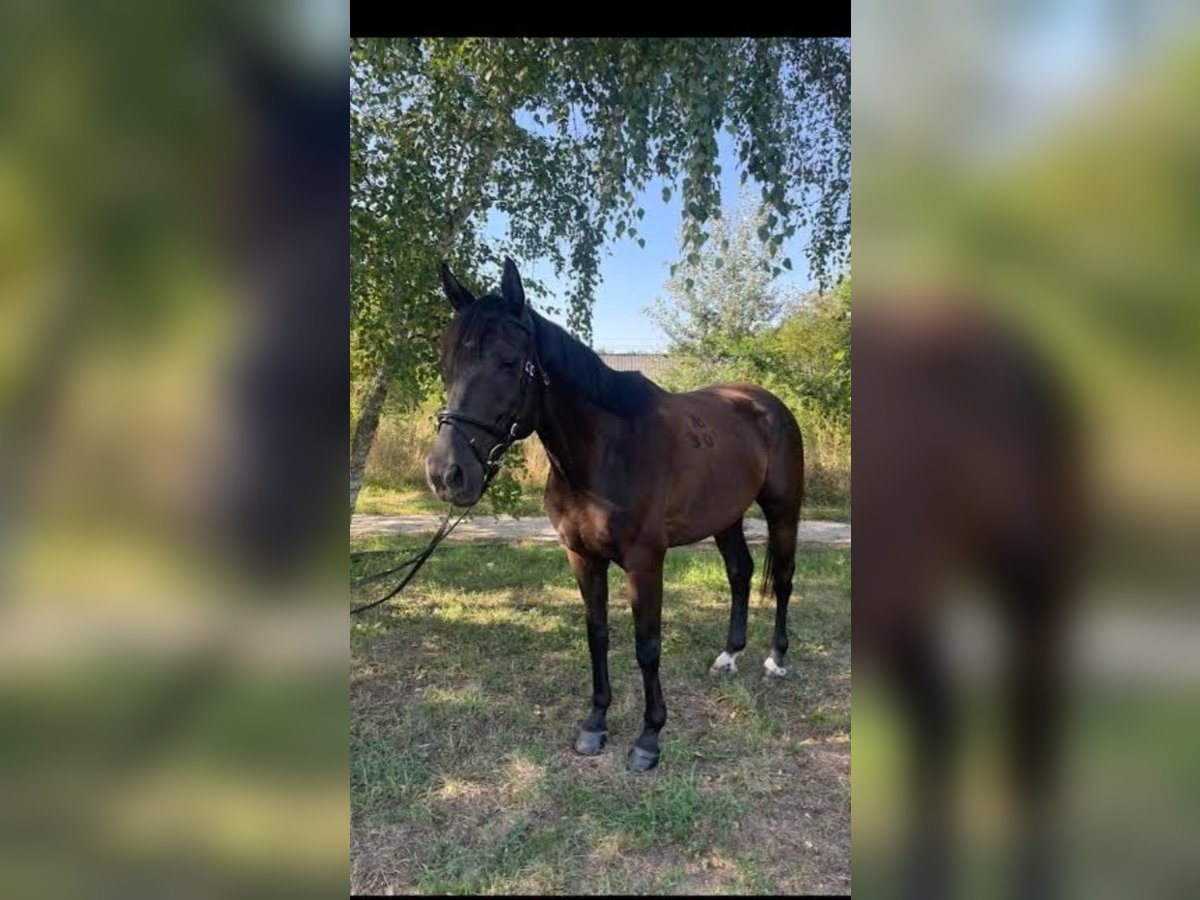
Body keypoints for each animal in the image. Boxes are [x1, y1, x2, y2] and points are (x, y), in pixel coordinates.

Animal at [424, 256, 806, 772]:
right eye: (446, 362)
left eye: (508, 362)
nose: (447, 474)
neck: (605, 450)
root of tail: (767, 404)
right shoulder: (583, 557)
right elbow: (598, 635)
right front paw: (595, 724)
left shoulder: (646, 562)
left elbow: (647, 646)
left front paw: (649, 738)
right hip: (725, 517)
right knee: (740, 573)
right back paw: (728, 656)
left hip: (783, 511)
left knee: (782, 579)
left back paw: (775, 661)